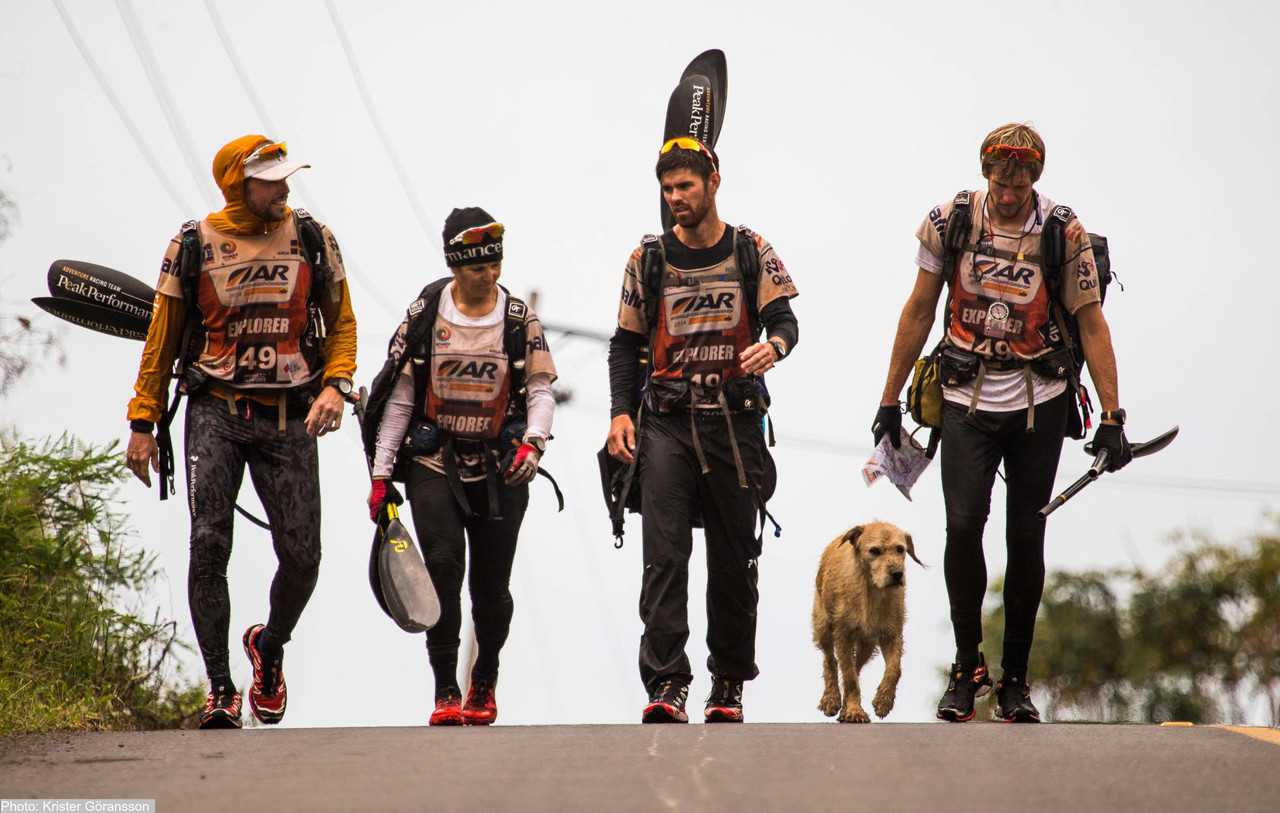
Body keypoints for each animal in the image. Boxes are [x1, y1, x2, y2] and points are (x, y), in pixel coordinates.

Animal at [819, 522, 921, 727]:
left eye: (900, 549)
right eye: (874, 551)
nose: (897, 574)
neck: (871, 590)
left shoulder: (892, 633)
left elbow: (894, 669)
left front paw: (883, 701)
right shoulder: (843, 634)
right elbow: (848, 675)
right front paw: (853, 710)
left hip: (867, 643)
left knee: (855, 665)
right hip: (823, 626)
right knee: (831, 661)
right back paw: (831, 699)